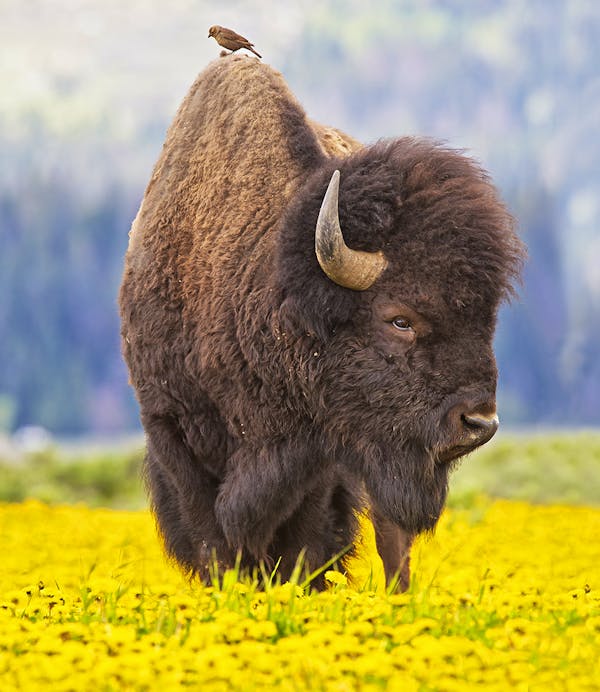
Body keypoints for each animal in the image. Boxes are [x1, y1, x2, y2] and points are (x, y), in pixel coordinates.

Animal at [119, 55, 524, 590]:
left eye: (486, 316)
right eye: (399, 319)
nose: (478, 423)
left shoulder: (322, 460)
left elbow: (304, 547)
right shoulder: (172, 434)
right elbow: (213, 544)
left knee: (394, 547)